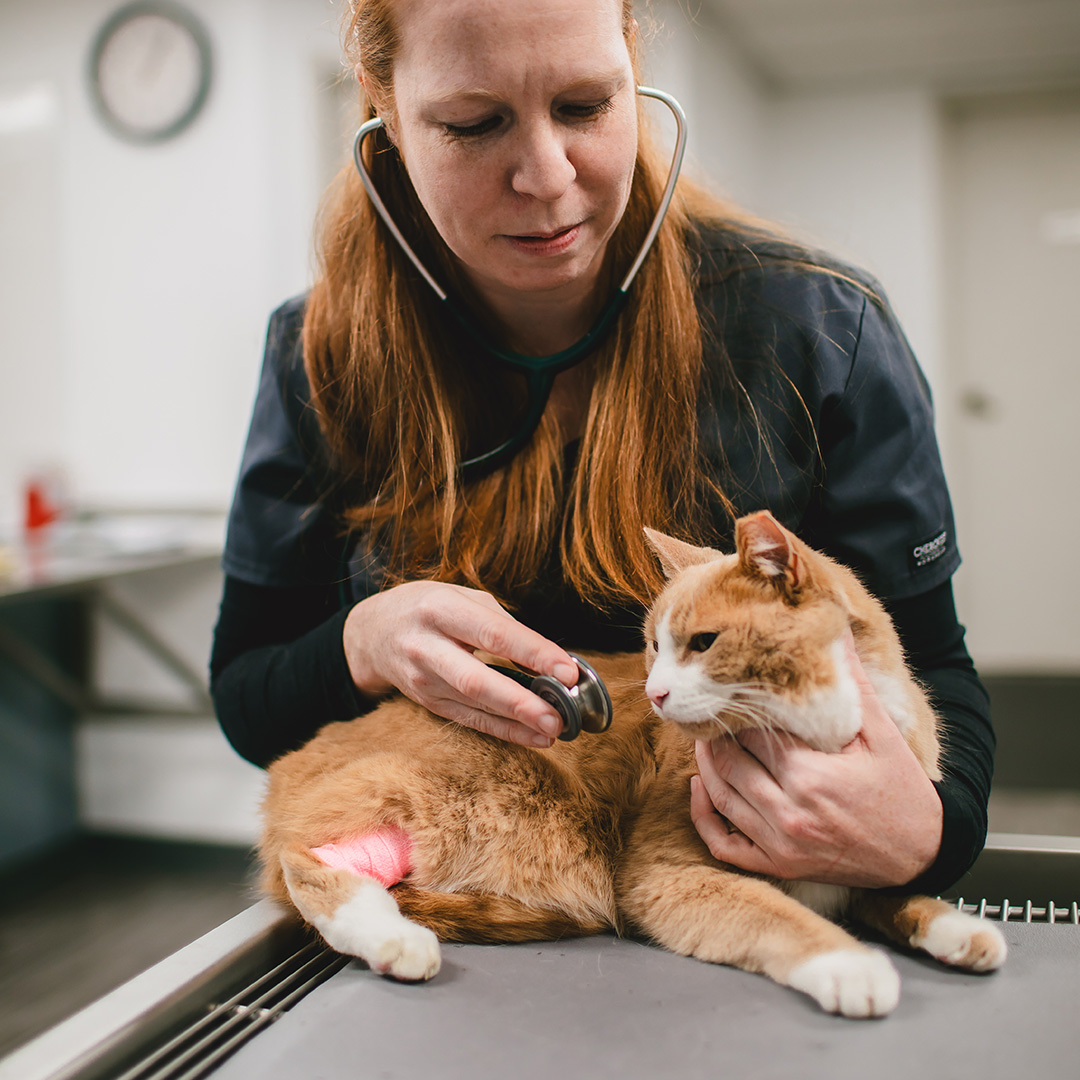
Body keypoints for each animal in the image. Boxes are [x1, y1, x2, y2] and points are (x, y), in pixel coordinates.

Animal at [259, 509, 1002, 1015]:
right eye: (651, 645)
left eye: (703, 643)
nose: (656, 693)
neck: (819, 739)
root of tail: (288, 766)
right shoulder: (666, 876)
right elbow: (778, 916)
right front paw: (851, 966)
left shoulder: (871, 845)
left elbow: (900, 890)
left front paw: (959, 927)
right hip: (500, 799)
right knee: (309, 860)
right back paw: (397, 942)